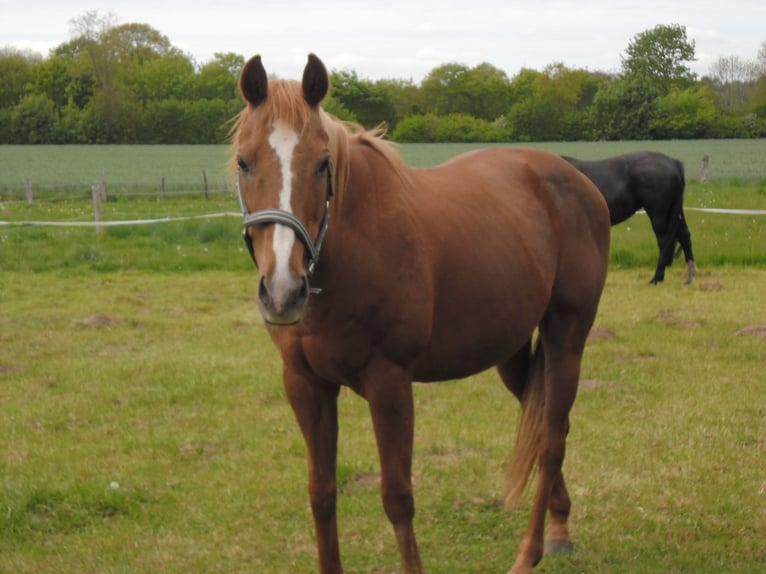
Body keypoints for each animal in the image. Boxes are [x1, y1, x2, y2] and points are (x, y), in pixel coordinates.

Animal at [231, 53, 610, 574]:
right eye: (244, 161)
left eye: (323, 163)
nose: (284, 291)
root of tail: (581, 183)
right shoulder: (305, 384)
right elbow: (321, 494)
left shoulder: (389, 382)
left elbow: (397, 497)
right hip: (513, 353)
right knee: (542, 431)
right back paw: (560, 529)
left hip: (566, 336)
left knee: (552, 438)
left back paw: (529, 552)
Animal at [563, 152, 697, 285]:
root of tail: (674, 163)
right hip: (672, 212)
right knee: (684, 235)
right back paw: (690, 276)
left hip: (660, 214)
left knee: (665, 241)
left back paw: (657, 277)